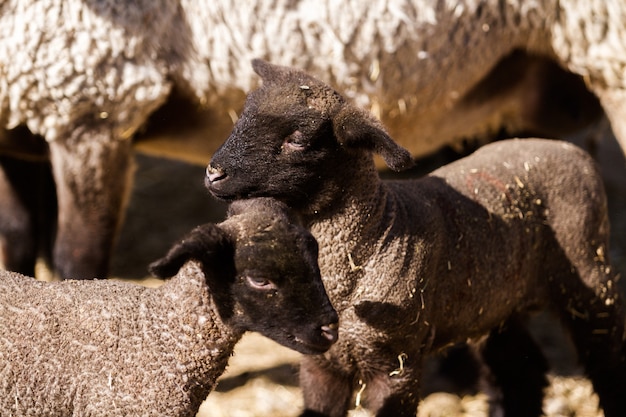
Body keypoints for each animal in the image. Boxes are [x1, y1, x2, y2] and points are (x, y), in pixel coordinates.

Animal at [205, 60, 624, 416]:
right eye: (242, 118)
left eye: (297, 139)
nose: (213, 173)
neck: (375, 235)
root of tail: (567, 149)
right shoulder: (320, 365)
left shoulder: (397, 364)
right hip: (496, 302)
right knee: (521, 370)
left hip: (588, 276)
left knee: (606, 357)